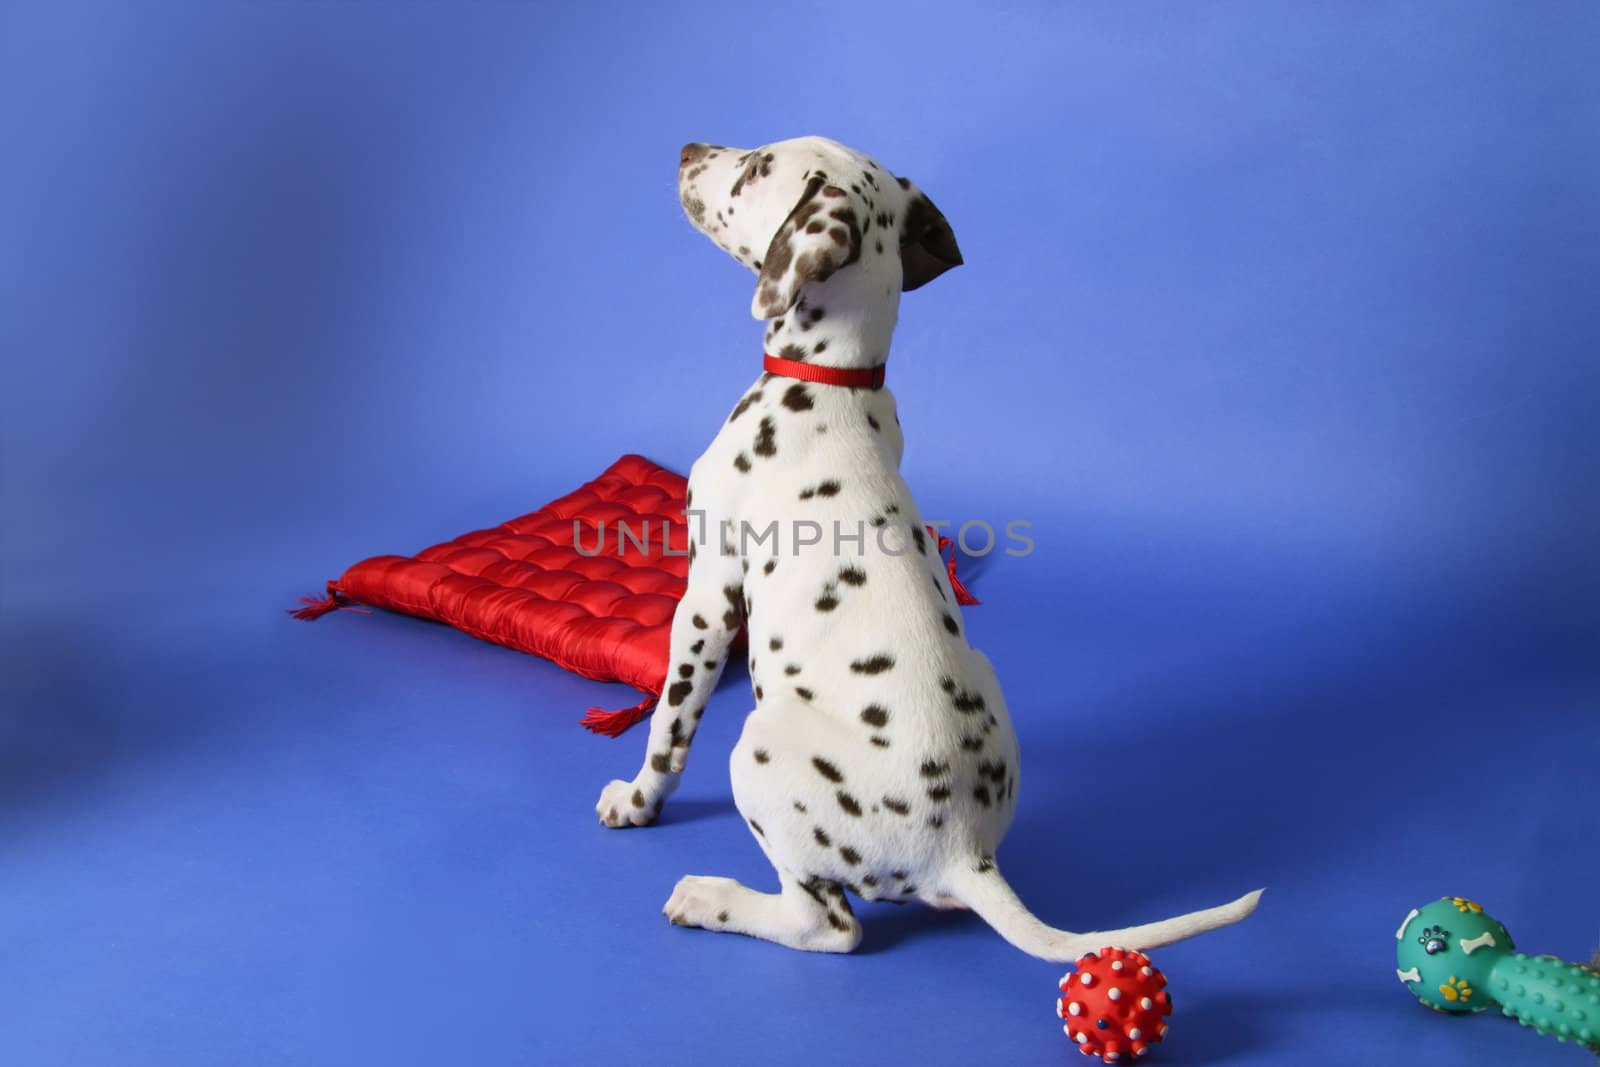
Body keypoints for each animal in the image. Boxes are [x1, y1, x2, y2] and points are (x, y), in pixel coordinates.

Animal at [595, 135, 1254, 959]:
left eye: (755, 168)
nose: (689, 148)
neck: (831, 381)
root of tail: (963, 855)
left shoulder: (709, 597)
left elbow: (669, 719)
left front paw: (637, 798)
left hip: (759, 743)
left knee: (829, 925)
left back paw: (710, 898)